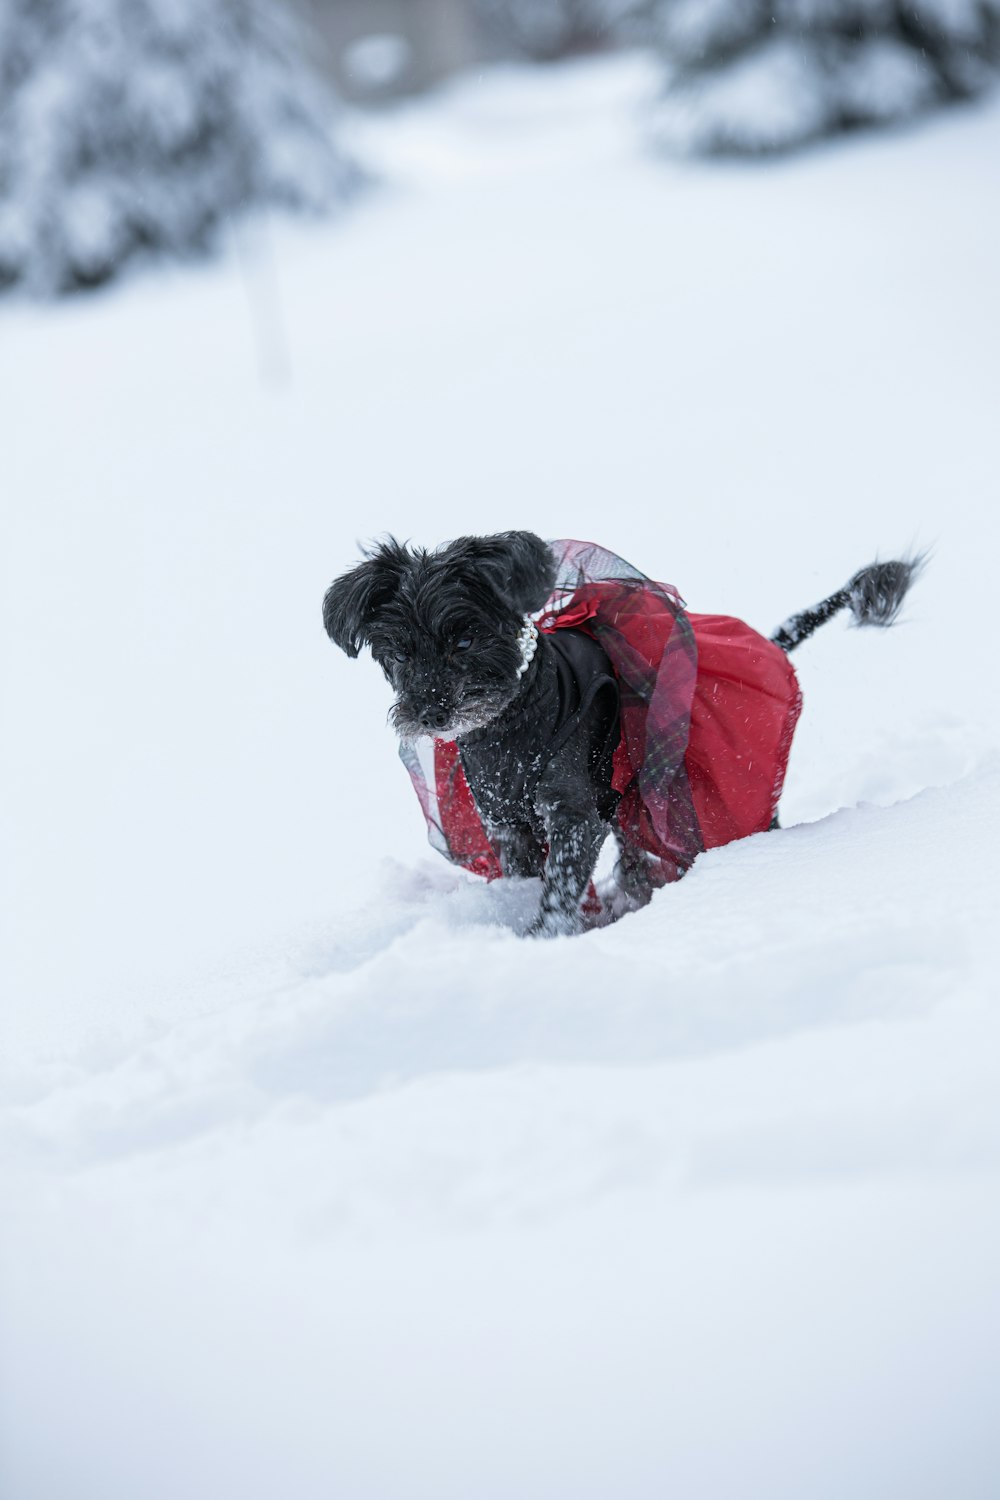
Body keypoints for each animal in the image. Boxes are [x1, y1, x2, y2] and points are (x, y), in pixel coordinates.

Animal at [325, 534, 929, 936]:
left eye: (465, 641)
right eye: (400, 654)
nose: (430, 711)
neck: (511, 724)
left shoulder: (573, 814)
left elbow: (560, 886)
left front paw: (541, 940)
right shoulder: (507, 824)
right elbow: (530, 876)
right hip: (633, 805)